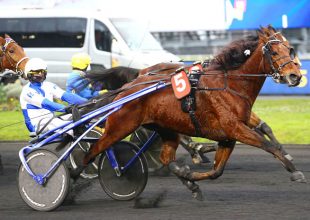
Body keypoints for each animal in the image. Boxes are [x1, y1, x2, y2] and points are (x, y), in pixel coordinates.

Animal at [82, 25, 306, 199]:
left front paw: (192, 178)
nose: (295, 75)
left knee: (167, 158)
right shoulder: (235, 128)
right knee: (94, 150)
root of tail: (131, 83)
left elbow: (218, 170)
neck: (230, 83)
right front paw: (295, 171)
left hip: (165, 127)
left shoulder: (229, 135)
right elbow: (268, 145)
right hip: (120, 126)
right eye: (275, 52)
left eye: (290, 49)